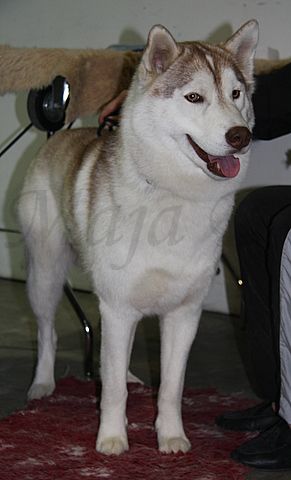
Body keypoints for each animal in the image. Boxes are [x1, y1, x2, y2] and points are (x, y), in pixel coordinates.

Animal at [18, 18, 258, 454]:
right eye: (194, 97)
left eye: (236, 94)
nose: (240, 136)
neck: (175, 197)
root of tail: (59, 137)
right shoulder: (117, 305)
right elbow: (113, 391)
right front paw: (112, 440)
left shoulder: (183, 314)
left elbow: (171, 387)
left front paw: (172, 437)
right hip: (45, 277)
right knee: (47, 334)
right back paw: (42, 384)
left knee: (116, 354)